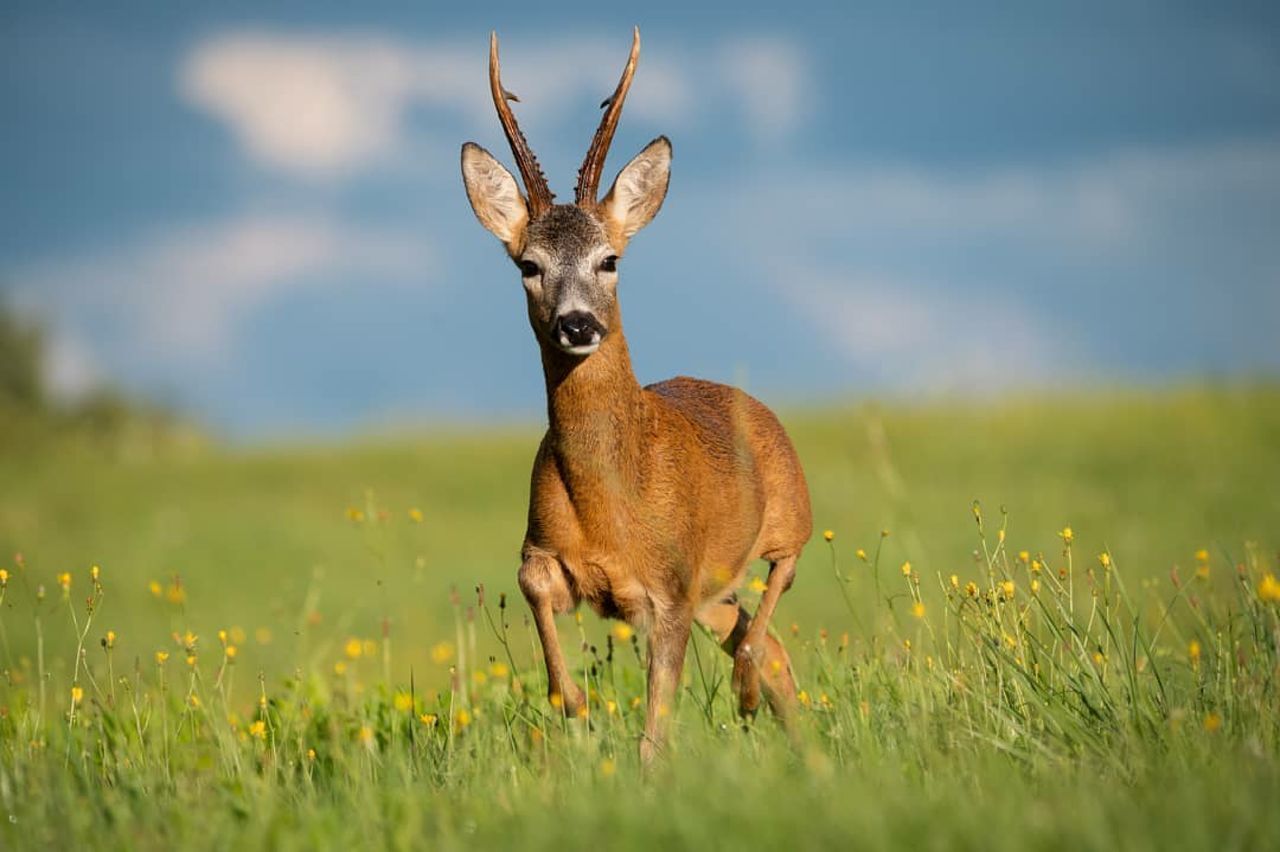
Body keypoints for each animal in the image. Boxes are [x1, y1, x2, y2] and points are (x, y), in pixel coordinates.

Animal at [463, 26, 808, 757]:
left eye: (610, 259)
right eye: (528, 264)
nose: (577, 323)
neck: (612, 502)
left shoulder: (669, 592)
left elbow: (656, 732)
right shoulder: (550, 554)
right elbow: (535, 598)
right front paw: (577, 706)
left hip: (791, 516)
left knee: (773, 600)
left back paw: (747, 699)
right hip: (713, 590)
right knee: (769, 648)